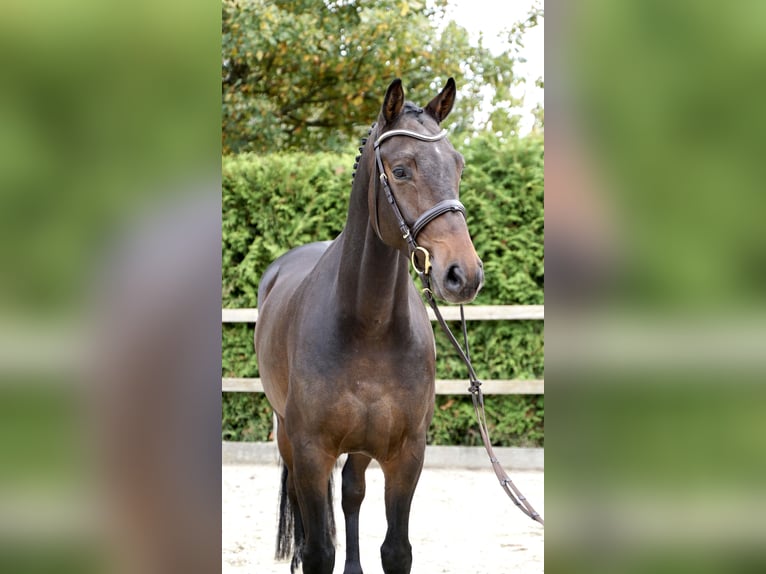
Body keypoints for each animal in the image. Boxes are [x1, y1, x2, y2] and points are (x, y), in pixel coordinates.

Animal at [255, 77, 484, 574]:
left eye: (457, 165)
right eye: (400, 170)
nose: (463, 275)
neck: (369, 327)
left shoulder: (407, 454)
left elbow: (395, 549)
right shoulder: (309, 450)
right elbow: (318, 551)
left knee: (351, 493)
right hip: (286, 435)